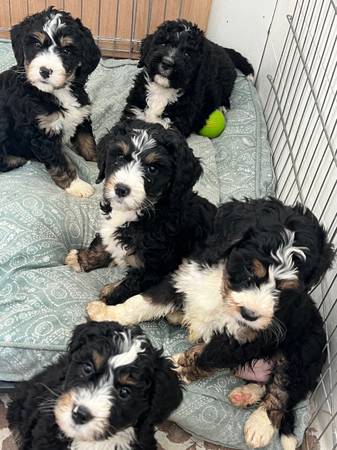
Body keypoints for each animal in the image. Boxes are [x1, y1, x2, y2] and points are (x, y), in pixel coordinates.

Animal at [0, 7, 100, 197]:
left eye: (66, 51)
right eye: (37, 45)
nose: (45, 71)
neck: (56, 92)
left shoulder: (82, 116)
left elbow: (88, 142)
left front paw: (97, 162)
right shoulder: (43, 133)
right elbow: (61, 163)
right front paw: (77, 186)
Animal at [64, 118, 214, 310]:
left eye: (152, 168)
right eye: (120, 156)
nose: (121, 189)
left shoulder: (151, 268)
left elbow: (126, 288)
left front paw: (104, 305)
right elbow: (101, 243)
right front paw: (81, 259)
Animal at [86, 199, 334, 450]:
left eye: (285, 288)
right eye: (250, 268)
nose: (250, 314)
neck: (224, 290)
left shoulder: (244, 337)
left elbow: (206, 356)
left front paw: (178, 369)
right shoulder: (185, 278)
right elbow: (144, 302)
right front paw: (107, 312)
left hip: (303, 352)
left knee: (283, 390)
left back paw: (260, 426)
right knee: (264, 384)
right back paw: (244, 394)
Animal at [121, 19, 252, 135]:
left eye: (187, 54)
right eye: (163, 44)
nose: (167, 63)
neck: (162, 89)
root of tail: (222, 48)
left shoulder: (175, 125)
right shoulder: (134, 111)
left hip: (227, 81)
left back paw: (223, 105)